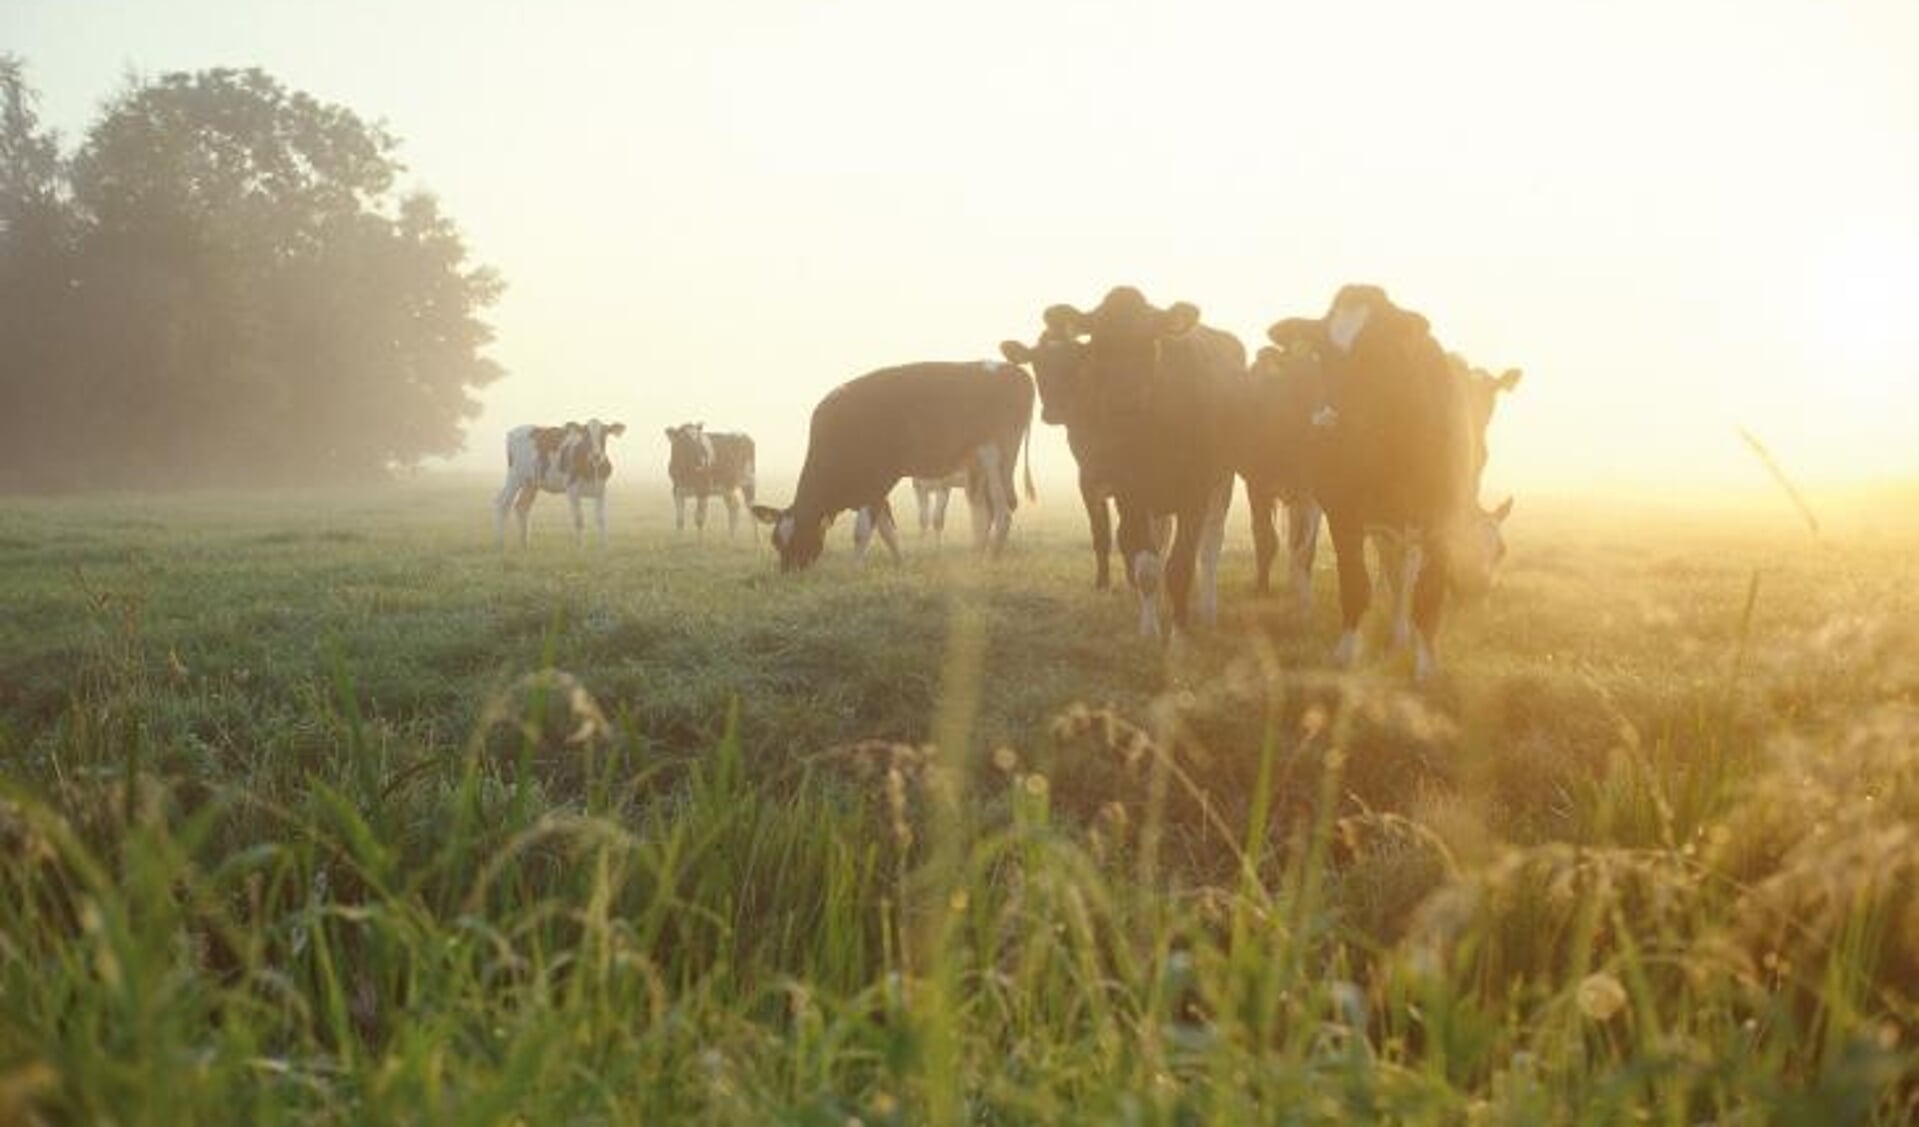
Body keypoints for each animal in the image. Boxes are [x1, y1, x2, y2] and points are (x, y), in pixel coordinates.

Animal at [491, 420, 625, 549]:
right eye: (586, 435)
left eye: (604, 434)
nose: (596, 455)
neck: (591, 469)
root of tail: (515, 430)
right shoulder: (572, 490)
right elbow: (579, 519)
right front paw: (580, 547)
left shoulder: (601, 490)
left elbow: (601, 519)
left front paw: (604, 547)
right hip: (515, 476)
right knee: (503, 503)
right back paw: (499, 542)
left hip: (531, 482)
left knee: (522, 506)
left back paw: (525, 543)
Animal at [756, 362, 1043, 572]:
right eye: (776, 542)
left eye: (801, 536)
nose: (788, 573)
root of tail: (1013, 371)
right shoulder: (875, 491)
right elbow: (887, 531)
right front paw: (900, 564)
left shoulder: (876, 483)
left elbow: (862, 531)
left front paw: (854, 569)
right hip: (975, 467)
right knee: (984, 512)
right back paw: (976, 557)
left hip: (994, 457)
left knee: (1003, 511)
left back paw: (990, 559)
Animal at [1036, 286, 1243, 641]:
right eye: (1098, 346)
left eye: (1150, 342)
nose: (1123, 400)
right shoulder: (1129, 491)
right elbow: (1145, 562)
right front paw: (1149, 629)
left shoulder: (1196, 489)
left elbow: (1181, 564)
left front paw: (1179, 632)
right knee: (1159, 543)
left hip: (1222, 480)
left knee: (1210, 547)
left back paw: (1207, 609)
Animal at [1266, 286, 1519, 683]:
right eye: (1323, 354)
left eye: (1377, 354)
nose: (1327, 420)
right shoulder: (1344, 510)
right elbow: (1355, 581)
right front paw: (1346, 652)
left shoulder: (1437, 514)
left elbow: (1425, 587)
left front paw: (1425, 663)